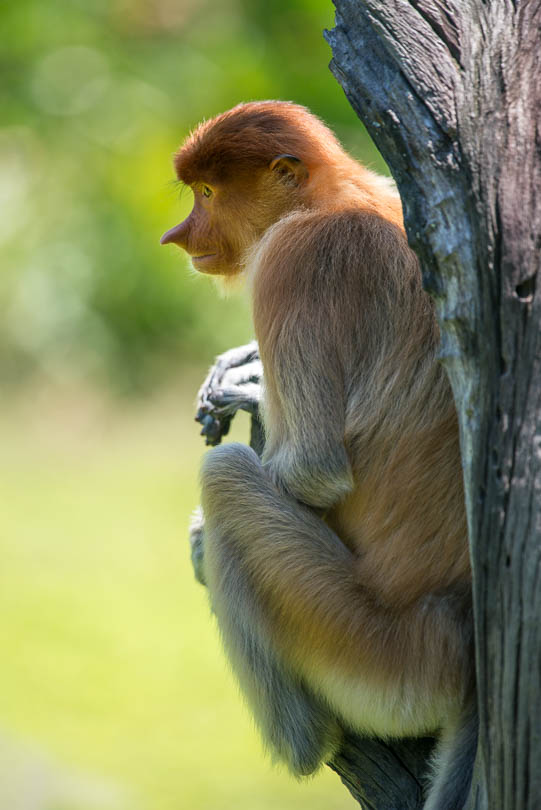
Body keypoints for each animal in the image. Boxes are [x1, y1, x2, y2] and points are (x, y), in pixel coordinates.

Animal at [161, 101, 476, 808]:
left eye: (207, 193)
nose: (176, 235)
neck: (333, 198)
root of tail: (459, 631)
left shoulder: (294, 261)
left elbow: (314, 471)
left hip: (367, 651)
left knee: (226, 477)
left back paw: (303, 744)